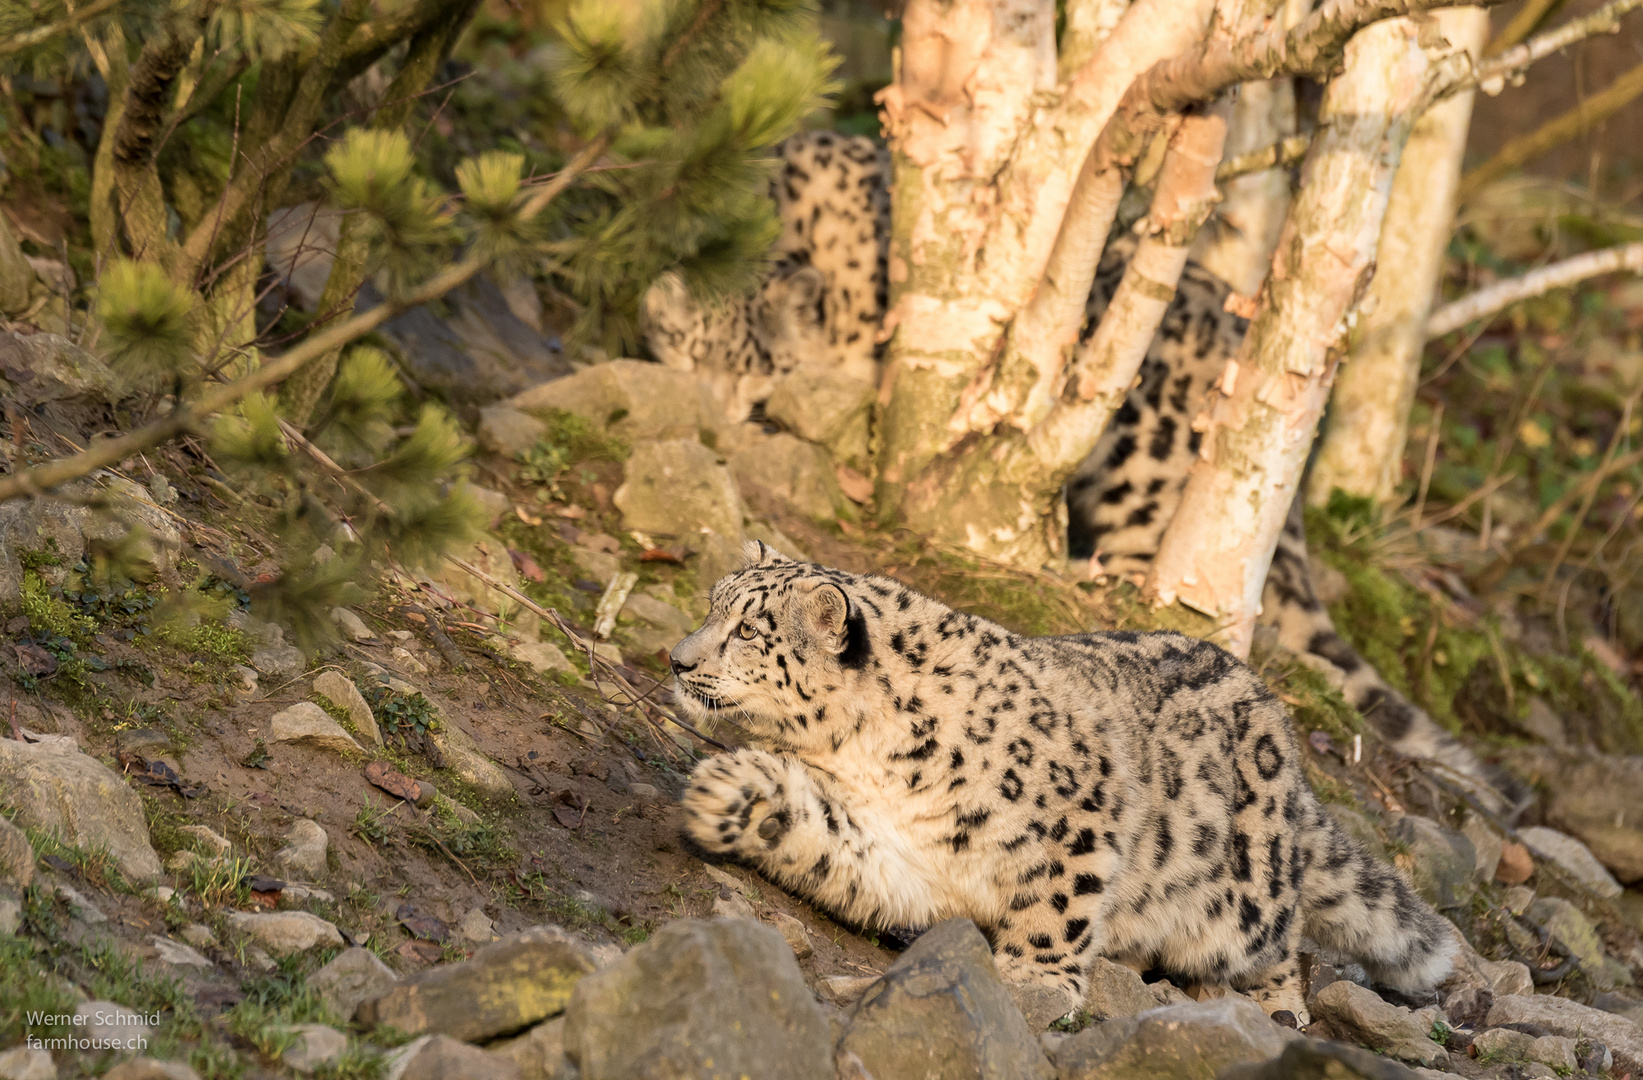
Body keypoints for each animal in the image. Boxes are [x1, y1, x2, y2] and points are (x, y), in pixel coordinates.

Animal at [673, 542, 1458, 1012]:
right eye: (713, 605)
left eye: (749, 630)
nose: (678, 660)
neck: (864, 756)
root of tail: (1281, 727)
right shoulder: (896, 848)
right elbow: (835, 841)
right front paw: (727, 796)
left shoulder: (1084, 809)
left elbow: (1059, 899)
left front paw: (1034, 982)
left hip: (1244, 898)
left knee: (1282, 936)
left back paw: (1278, 1008)